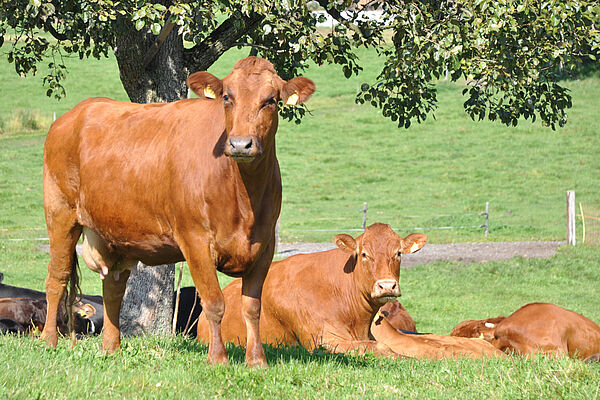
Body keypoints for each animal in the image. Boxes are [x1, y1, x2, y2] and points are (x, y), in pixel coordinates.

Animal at [41, 57, 314, 368]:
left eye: (270, 100)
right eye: (227, 97)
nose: (240, 144)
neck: (244, 199)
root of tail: (75, 113)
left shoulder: (264, 245)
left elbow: (252, 307)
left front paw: (257, 360)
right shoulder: (195, 241)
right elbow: (214, 303)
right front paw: (218, 358)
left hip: (116, 232)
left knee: (112, 288)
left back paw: (111, 347)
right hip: (60, 214)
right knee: (57, 278)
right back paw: (49, 341)